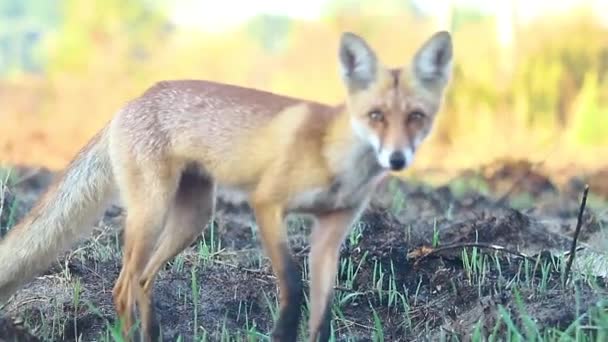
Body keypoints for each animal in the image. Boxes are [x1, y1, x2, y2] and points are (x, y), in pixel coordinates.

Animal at [0, 30, 452, 340]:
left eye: (416, 117)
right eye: (376, 116)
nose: (397, 159)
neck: (334, 157)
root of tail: (131, 101)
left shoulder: (332, 229)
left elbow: (322, 314)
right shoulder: (266, 204)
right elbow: (292, 286)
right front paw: (282, 332)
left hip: (195, 219)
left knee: (143, 282)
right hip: (151, 213)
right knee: (123, 287)